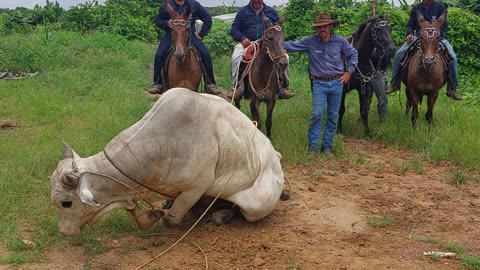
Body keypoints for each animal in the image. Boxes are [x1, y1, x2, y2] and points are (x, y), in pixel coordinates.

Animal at [50, 87, 286, 235]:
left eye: (66, 203)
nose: (64, 231)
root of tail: (276, 155)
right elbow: (139, 213)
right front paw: (154, 212)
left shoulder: (197, 186)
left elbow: (171, 219)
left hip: (259, 203)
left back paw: (221, 214)